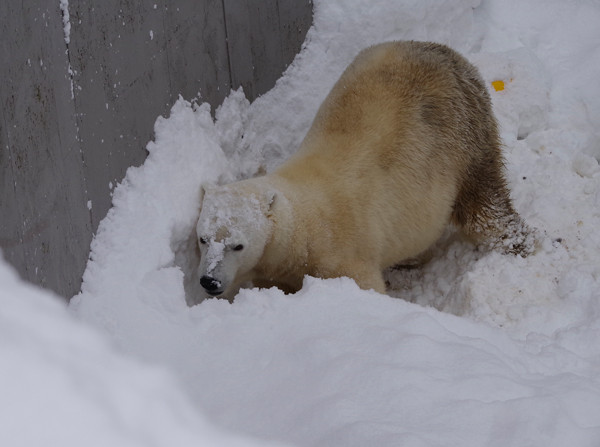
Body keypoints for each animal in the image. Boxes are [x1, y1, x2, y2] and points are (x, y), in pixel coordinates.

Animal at [195, 41, 532, 300]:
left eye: (237, 244)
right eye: (202, 238)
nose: (209, 281)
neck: (305, 231)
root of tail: (448, 54)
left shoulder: (341, 254)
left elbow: (363, 286)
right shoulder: (277, 267)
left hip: (462, 133)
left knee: (484, 204)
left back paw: (518, 244)